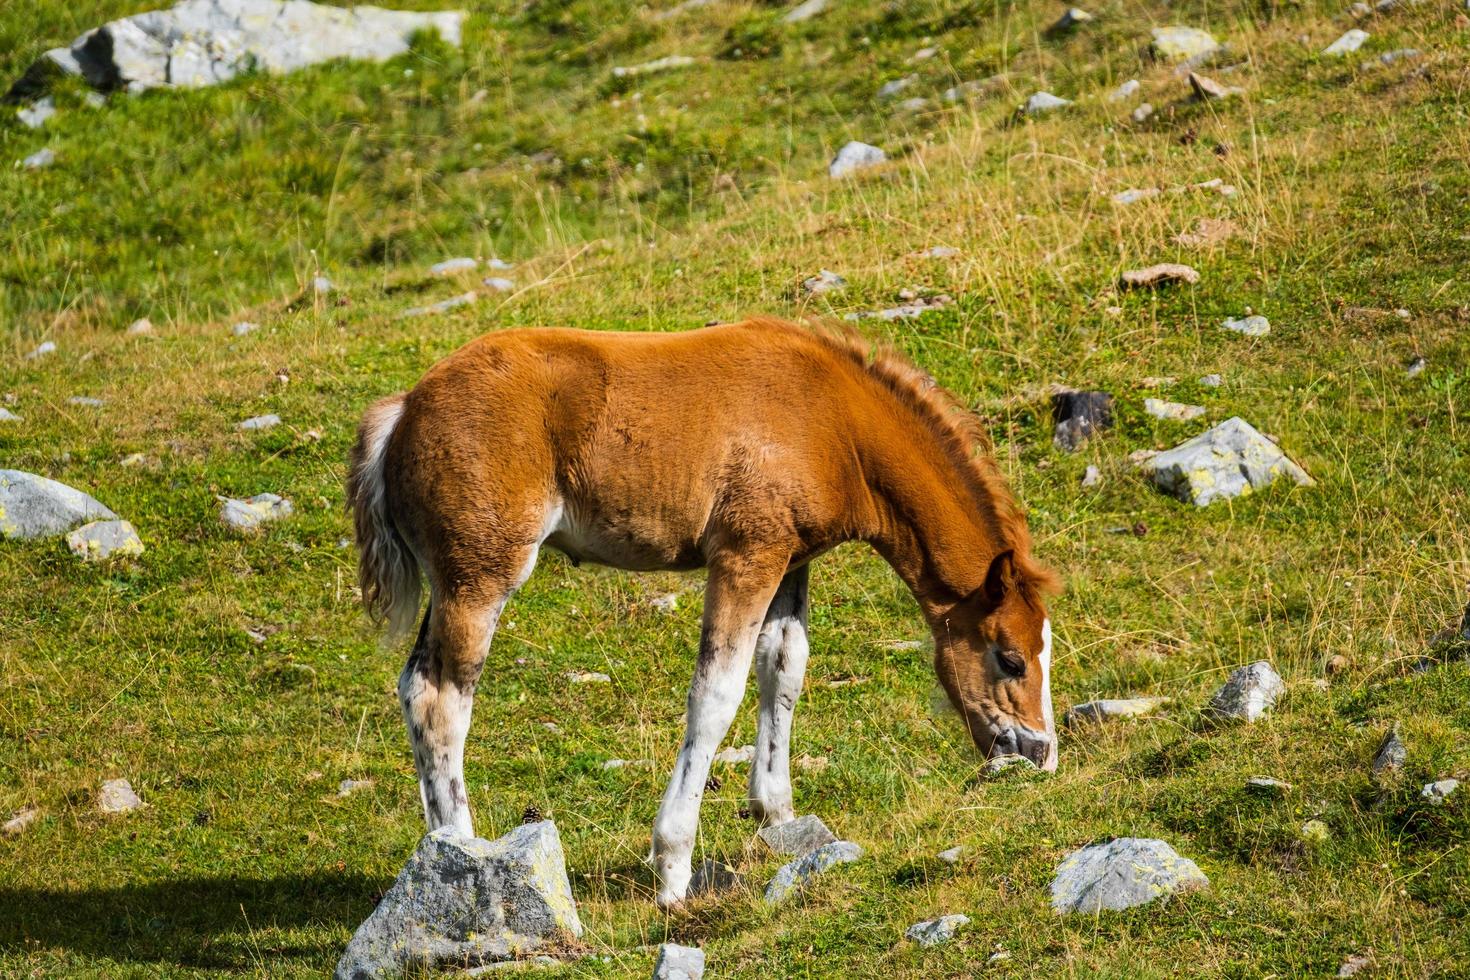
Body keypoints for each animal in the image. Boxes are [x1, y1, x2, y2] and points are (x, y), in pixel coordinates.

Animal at [343, 318, 1058, 910]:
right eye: (1010, 657)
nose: (1041, 752)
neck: (834, 420)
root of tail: (402, 412)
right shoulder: (745, 554)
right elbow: (717, 693)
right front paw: (674, 866)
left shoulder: (789, 558)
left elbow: (783, 668)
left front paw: (777, 815)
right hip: (480, 576)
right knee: (439, 695)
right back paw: (460, 856)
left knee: (414, 685)